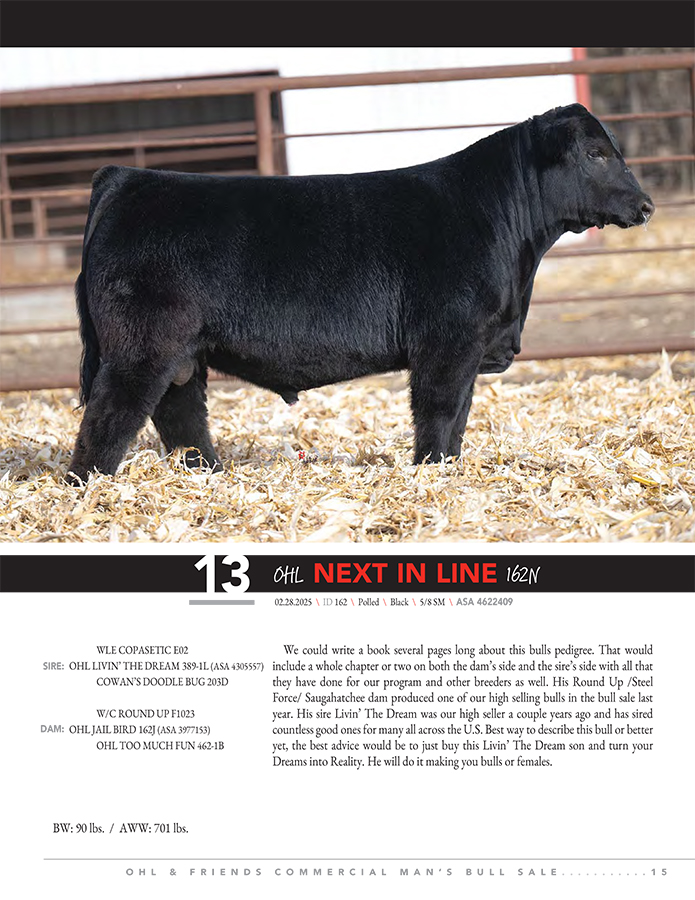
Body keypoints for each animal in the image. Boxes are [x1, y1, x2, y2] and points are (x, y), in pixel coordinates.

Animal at [67, 103, 654, 484]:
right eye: (596, 154)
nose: (646, 205)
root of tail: (126, 176)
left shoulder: (470, 347)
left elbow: (460, 414)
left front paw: (449, 469)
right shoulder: (448, 341)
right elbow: (440, 410)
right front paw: (431, 472)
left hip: (182, 352)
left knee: (180, 411)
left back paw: (208, 475)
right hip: (141, 347)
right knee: (110, 415)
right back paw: (88, 488)